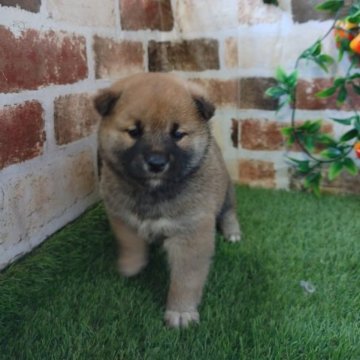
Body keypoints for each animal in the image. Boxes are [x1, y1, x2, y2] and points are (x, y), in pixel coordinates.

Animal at [94, 73, 240, 330]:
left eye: (177, 134)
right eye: (134, 131)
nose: (156, 163)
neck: (151, 192)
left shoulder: (191, 234)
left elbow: (185, 280)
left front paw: (180, 312)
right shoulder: (121, 216)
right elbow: (130, 242)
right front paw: (132, 265)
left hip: (226, 193)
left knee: (229, 211)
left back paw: (232, 232)